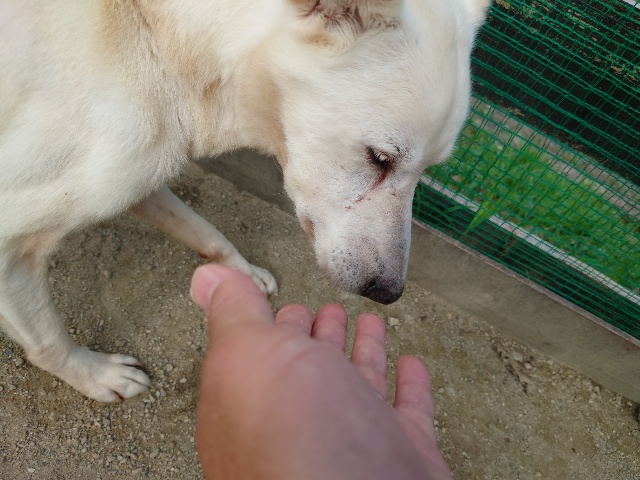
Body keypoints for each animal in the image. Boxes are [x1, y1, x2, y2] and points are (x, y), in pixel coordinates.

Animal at [0, 0, 489, 402]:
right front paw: (98, 376)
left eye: (429, 168)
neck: (157, 32)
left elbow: (203, 228)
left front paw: (242, 273)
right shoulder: (13, 239)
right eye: (381, 158)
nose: (387, 293)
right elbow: (47, 341)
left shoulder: (142, 171)